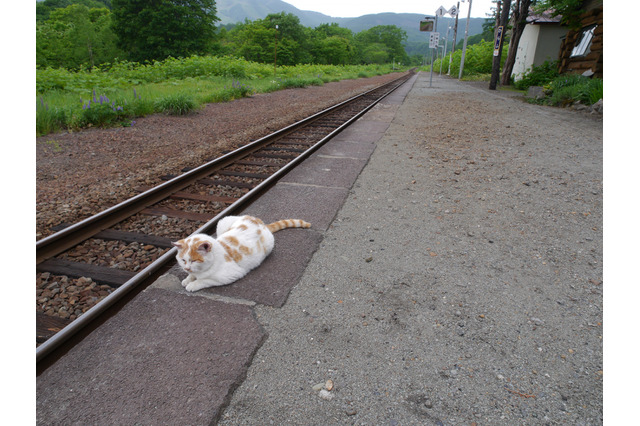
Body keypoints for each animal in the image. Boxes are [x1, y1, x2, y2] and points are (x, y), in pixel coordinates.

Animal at [170, 215, 310, 292]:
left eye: (194, 260)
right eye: (183, 260)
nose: (187, 268)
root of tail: (259, 222)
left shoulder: (230, 275)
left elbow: (205, 280)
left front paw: (193, 284)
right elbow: (192, 276)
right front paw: (187, 279)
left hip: (269, 244)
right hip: (222, 222)